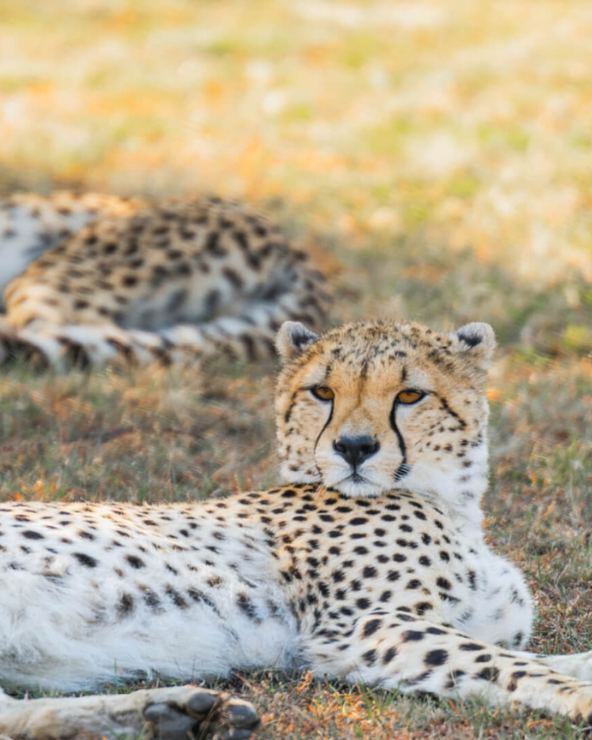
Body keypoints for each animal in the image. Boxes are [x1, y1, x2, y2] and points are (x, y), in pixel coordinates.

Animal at [2, 317, 592, 740]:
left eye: (409, 395)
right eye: (322, 393)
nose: (353, 447)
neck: (452, 501)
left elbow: (531, 656)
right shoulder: (359, 628)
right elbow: (508, 663)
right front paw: (577, 699)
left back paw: (171, 713)